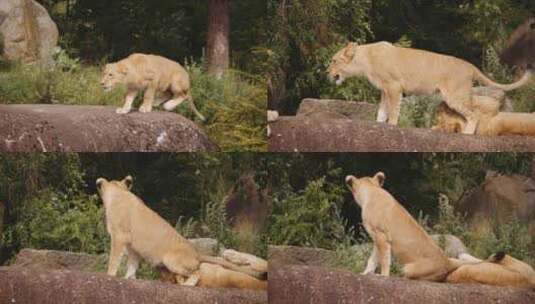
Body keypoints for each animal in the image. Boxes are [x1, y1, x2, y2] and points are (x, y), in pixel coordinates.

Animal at [96, 175, 266, 288]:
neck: (119, 193)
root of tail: (196, 253)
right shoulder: (132, 246)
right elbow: (132, 264)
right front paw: (129, 279)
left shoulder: (119, 236)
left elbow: (114, 259)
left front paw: (109, 276)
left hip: (170, 259)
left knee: (197, 273)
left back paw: (187, 285)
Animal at [326, 41, 532, 133]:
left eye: (334, 61)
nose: (327, 72)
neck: (365, 60)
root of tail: (470, 65)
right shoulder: (384, 90)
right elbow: (382, 111)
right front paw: (378, 125)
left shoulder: (394, 86)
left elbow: (393, 110)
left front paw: (392, 126)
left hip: (454, 96)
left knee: (473, 113)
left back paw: (467, 134)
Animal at [346, 172, 476, 282]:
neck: (372, 190)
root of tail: (447, 261)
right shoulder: (377, 237)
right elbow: (373, 259)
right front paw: (365, 273)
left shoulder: (382, 236)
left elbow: (384, 259)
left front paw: (383, 276)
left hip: (408, 267)